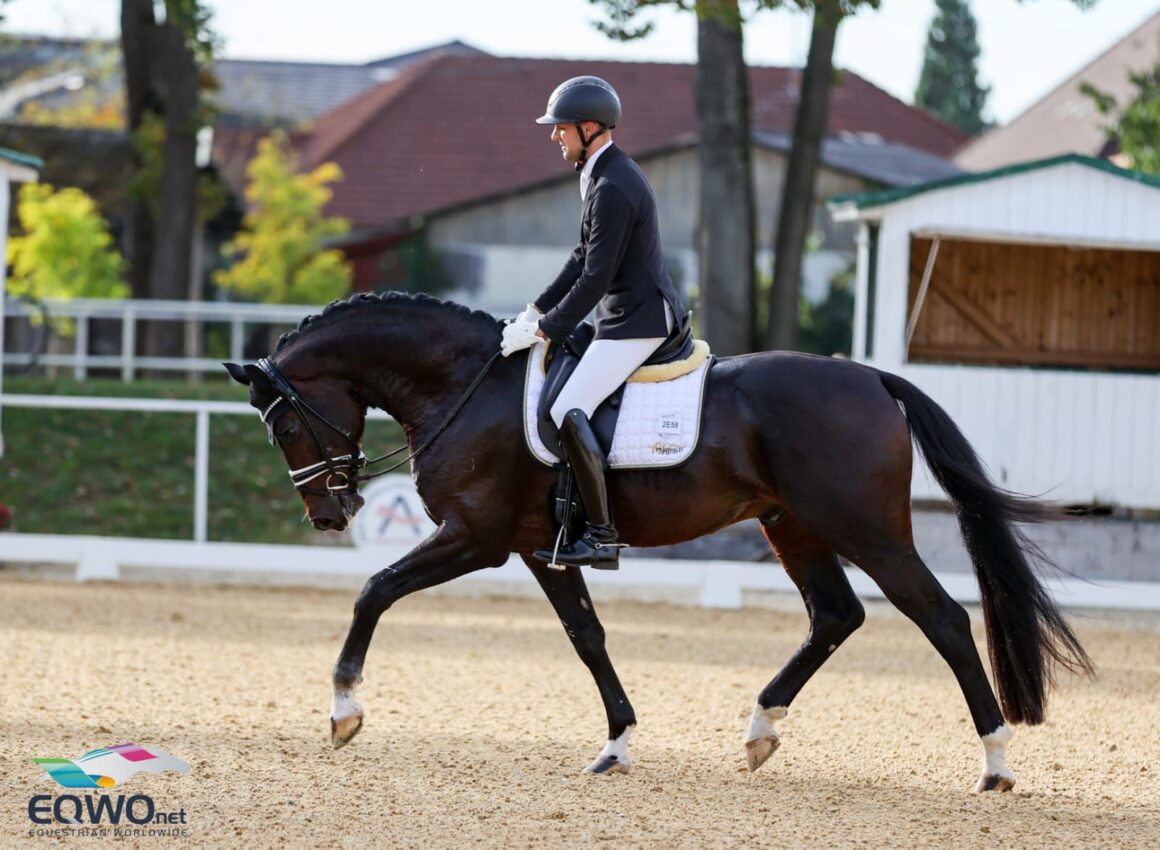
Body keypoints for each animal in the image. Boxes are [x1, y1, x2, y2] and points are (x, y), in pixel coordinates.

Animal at [221, 292, 1090, 788]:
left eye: (285, 425)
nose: (329, 515)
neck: (465, 385)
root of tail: (872, 376)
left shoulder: (475, 537)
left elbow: (375, 591)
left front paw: (344, 710)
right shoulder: (539, 547)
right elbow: (588, 637)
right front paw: (617, 745)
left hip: (866, 528)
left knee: (940, 618)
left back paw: (995, 764)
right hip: (794, 525)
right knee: (836, 616)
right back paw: (760, 731)